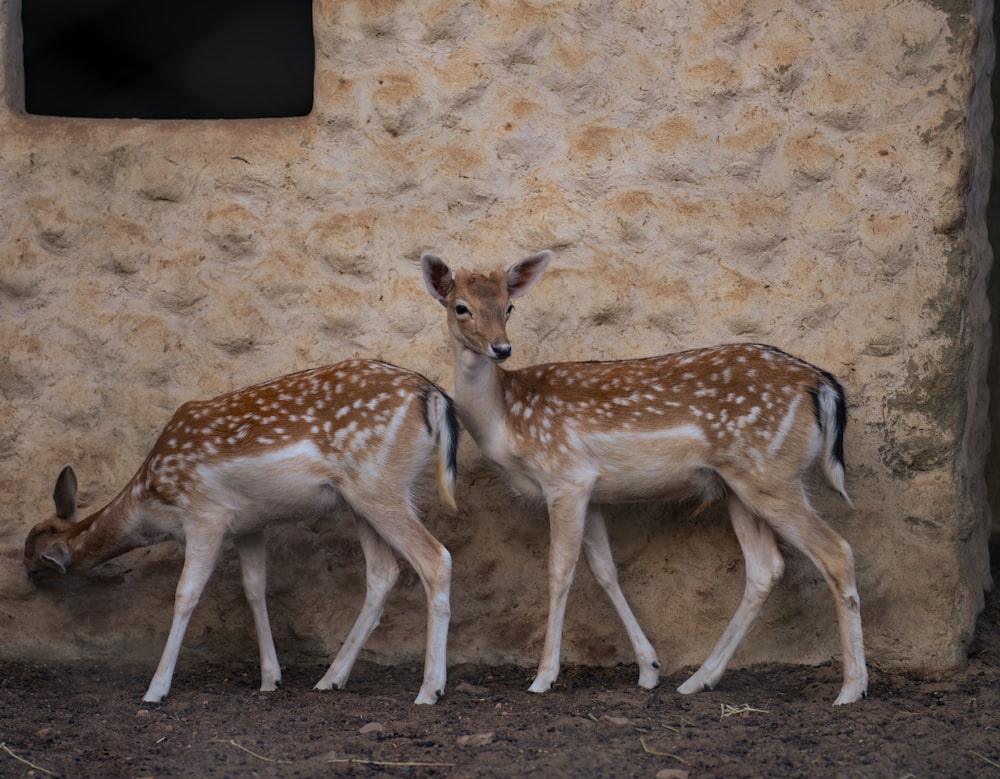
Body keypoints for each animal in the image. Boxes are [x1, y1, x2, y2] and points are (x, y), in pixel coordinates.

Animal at [23, 360, 458, 708]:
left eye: (31, 561)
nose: (27, 578)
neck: (152, 497)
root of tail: (433, 396)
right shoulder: (249, 523)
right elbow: (253, 588)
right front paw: (270, 680)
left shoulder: (205, 512)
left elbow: (186, 593)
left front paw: (155, 690)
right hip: (363, 498)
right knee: (383, 573)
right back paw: (330, 679)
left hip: (377, 486)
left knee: (436, 558)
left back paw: (428, 691)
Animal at [422, 251, 868, 708]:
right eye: (461, 307)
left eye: (509, 306)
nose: (501, 347)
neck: (506, 421)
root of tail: (822, 384)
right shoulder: (591, 491)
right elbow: (605, 570)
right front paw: (649, 669)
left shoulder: (565, 476)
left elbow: (559, 571)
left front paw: (543, 677)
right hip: (740, 486)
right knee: (766, 568)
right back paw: (697, 680)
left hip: (771, 474)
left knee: (836, 551)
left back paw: (851, 688)